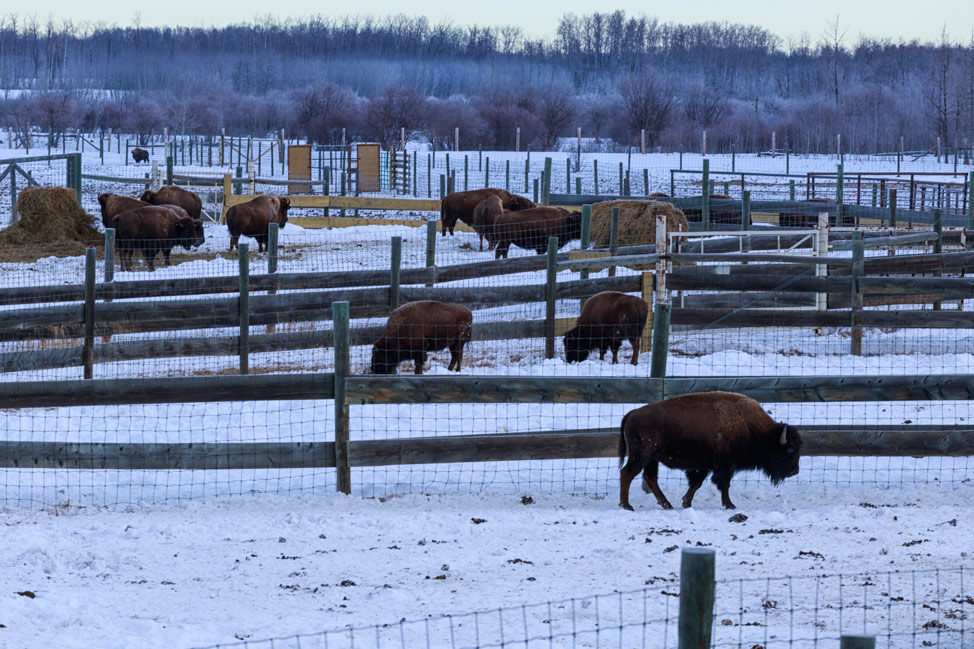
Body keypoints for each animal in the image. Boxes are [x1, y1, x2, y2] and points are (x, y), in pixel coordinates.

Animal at [620, 390, 804, 512]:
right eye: (790, 449)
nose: (795, 471)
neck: (749, 425)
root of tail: (632, 413)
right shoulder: (725, 465)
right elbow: (723, 484)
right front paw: (730, 505)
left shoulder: (705, 465)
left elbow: (696, 483)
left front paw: (686, 503)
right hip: (642, 455)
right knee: (627, 473)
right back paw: (627, 505)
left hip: (652, 459)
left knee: (649, 477)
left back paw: (667, 505)